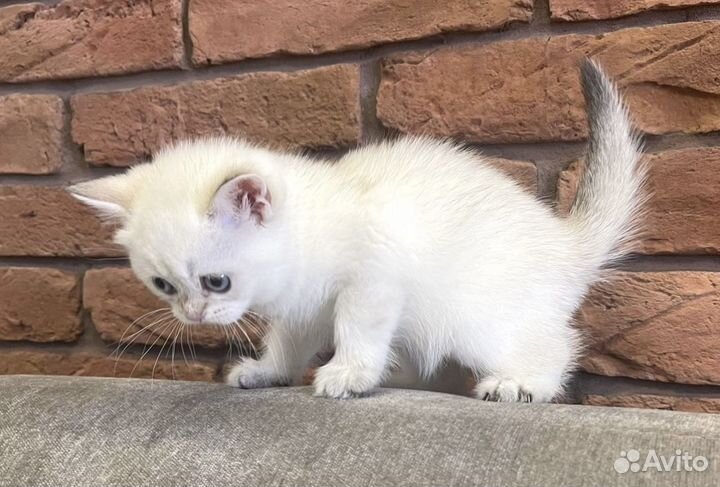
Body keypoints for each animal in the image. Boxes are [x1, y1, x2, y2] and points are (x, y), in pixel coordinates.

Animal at [71, 61, 648, 402]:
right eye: (163, 286)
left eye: (216, 282)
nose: (192, 315)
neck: (307, 234)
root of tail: (565, 242)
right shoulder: (302, 308)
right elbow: (288, 342)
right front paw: (268, 371)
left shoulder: (374, 278)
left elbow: (356, 328)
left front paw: (348, 373)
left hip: (478, 319)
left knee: (557, 344)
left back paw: (520, 383)